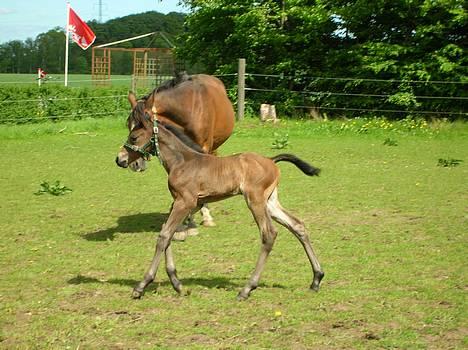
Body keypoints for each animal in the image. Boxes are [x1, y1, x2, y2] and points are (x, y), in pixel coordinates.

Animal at [115, 115, 324, 300]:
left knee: (269, 234)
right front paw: (177, 285)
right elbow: (168, 232)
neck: (182, 161)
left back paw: (247, 289)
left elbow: (164, 236)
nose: (120, 159)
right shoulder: (183, 203)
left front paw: (141, 286)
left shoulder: (185, 202)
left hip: (255, 200)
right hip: (270, 202)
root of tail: (271, 160)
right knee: (297, 225)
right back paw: (316, 279)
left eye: (133, 137)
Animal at [119, 74, 234, 238]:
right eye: (128, 125)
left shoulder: (202, 148)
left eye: (138, 131)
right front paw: (181, 224)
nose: (134, 164)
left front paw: (191, 223)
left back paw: (206, 215)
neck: (188, 109)